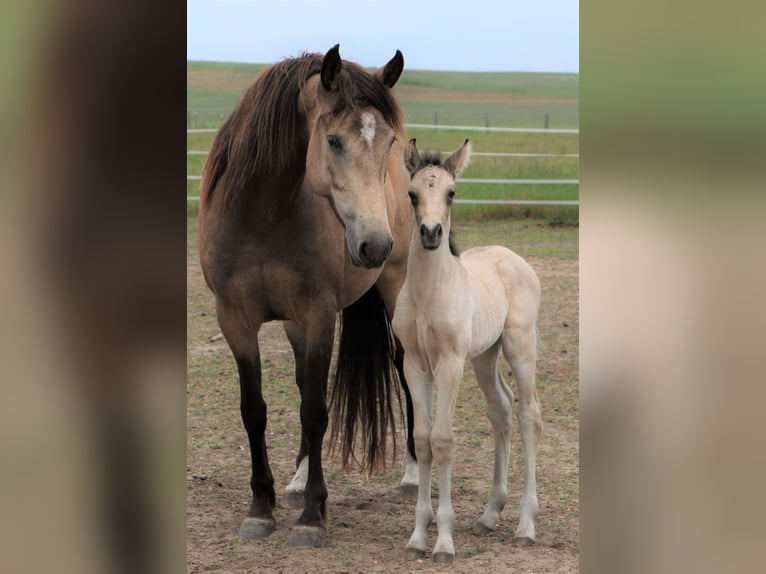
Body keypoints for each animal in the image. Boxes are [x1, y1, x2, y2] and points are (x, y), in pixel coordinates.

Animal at [196, 45, 414, 548]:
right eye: (332, 141)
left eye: (388, 142)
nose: (375, 245)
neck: (263, 214)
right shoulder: (234, 320)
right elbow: (254, 410)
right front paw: (262, 506)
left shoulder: (319, 316)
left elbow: (316, 410)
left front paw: (313, 514)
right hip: (294, 323)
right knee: (299, 383)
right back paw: (296, 480)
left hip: (395, 291)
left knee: (405, 366)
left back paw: (414, 473)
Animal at [396, 141, 544, 568]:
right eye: (412, 194)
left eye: (451, 193)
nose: (431, 233)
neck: (428, 293)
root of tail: (512, 257)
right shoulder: (415, 364)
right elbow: (423, 439)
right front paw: (418, 536)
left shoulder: (449, 363)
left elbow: (444, 440)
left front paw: (444, 541)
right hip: (484, 356)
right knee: (501, 411)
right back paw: (490, 514)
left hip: (517, 346)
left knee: (529, 415)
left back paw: (525, 525)